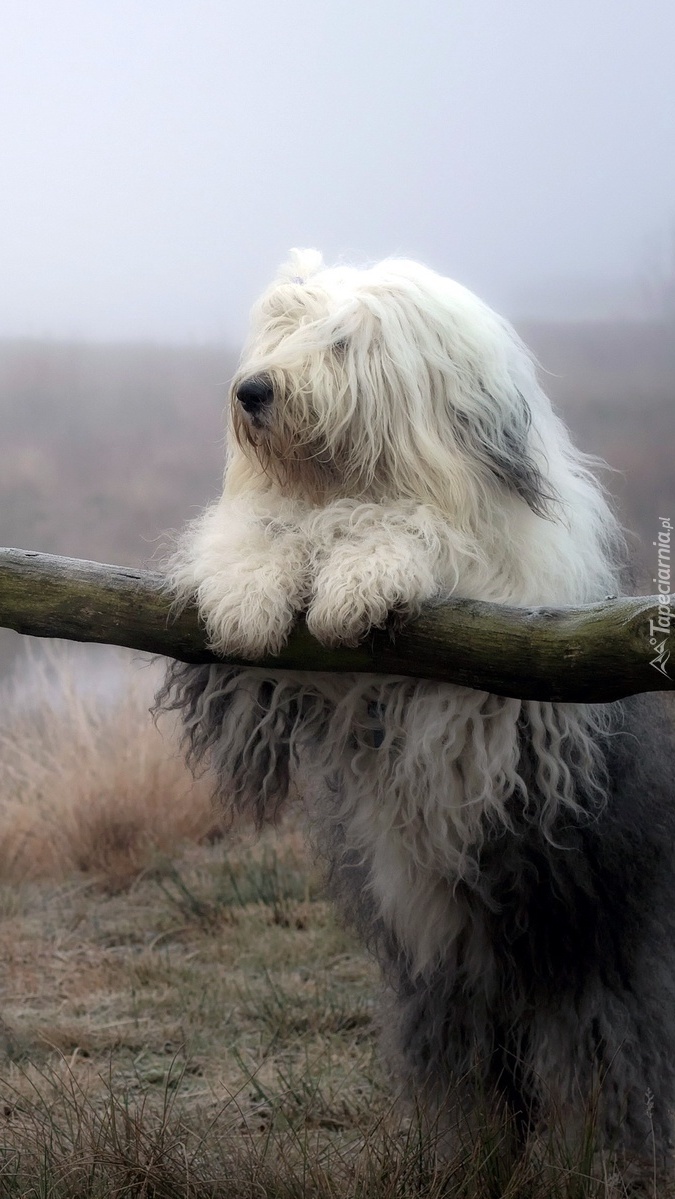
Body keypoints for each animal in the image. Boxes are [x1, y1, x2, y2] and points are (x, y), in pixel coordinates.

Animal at [161, 250, 675, 1160]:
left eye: (341, 342)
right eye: (281, 333)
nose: (252, 391)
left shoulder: (513, 647)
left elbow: (423, 534)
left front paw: (360, 572)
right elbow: (262, 537)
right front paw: (251, 593)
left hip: (593, 955)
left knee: (607, 1064)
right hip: (439, 989)